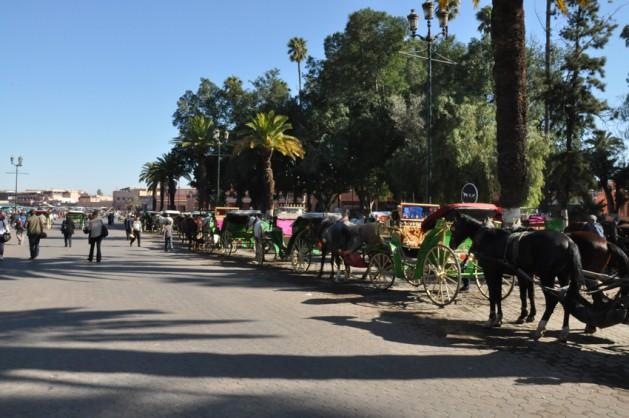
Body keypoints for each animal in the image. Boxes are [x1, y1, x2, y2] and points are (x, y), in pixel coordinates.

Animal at [446, 214, 584, 342]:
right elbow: (501, 295)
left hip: (547, 276)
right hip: (563, 275)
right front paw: (500, 318)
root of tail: (569, 242)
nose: (451, 244)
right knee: (566, 298)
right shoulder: (503, 273)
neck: (488, 239)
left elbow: (493, 295)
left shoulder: (490, 272)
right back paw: (564, 330)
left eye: (453, 228)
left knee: (552, 300)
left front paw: (492, 318)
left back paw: (540, 328)